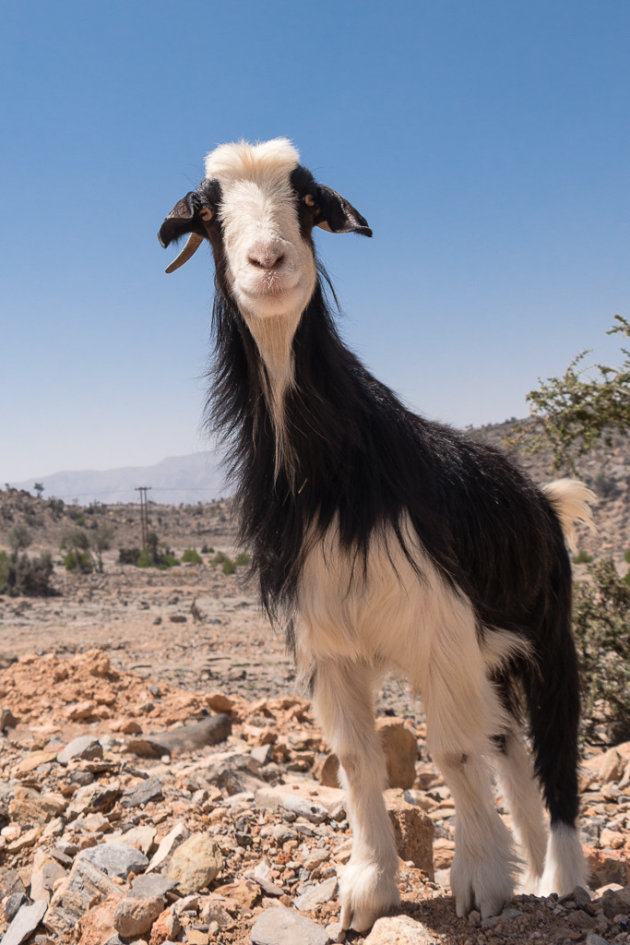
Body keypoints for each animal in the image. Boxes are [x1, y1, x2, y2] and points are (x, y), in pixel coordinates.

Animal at [160, 138, 596, 928]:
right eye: (207, 214)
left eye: (307, 202)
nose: (268, 261)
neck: (336, 473)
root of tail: (545, 499)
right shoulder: (330, 643)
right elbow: (359, 759)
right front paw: (367, 890)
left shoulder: (441, 629)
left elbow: (453, 753)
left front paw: (479, 884)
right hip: (494, 654)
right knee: (510, 744)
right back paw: (536, 865)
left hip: (547, 633)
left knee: (552, 744)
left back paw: (564, 877)